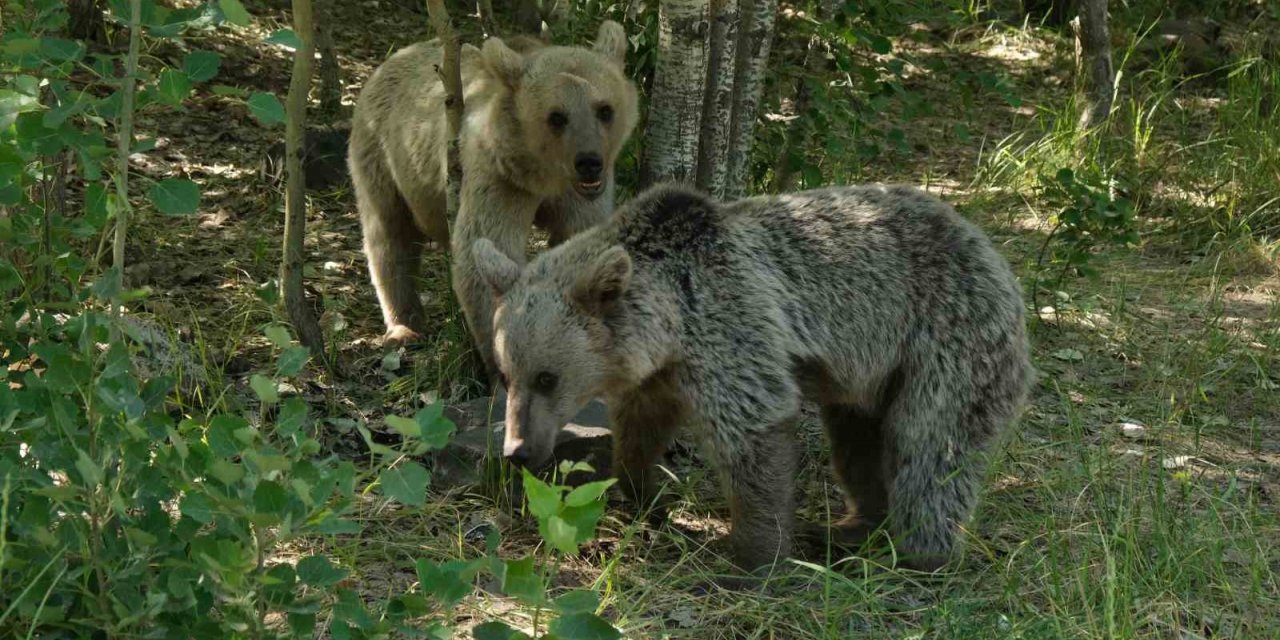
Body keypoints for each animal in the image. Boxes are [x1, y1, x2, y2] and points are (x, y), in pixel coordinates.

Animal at [348, 23, 637, 373]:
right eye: (557, 116)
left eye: (604, 109)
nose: (589, 161)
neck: (542, 176)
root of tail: (392, 59)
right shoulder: (497, 177)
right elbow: (485, 253)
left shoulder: (578, 198)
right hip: (383, 155)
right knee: (389, 235)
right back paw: (404, 326)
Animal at [476, 183, 1034, 573]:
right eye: (506, 372)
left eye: (548, 377)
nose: (517, 450)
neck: (672, 322)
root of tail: (988, 246)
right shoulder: (662, 373)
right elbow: (641, 427)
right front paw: (640, 494)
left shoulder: (732, 330)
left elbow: (753, 436)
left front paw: (750, 556)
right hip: (873, 376)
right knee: (857, 442)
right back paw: (853, 527)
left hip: (946, 336)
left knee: (933, 447)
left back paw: (919, 555)